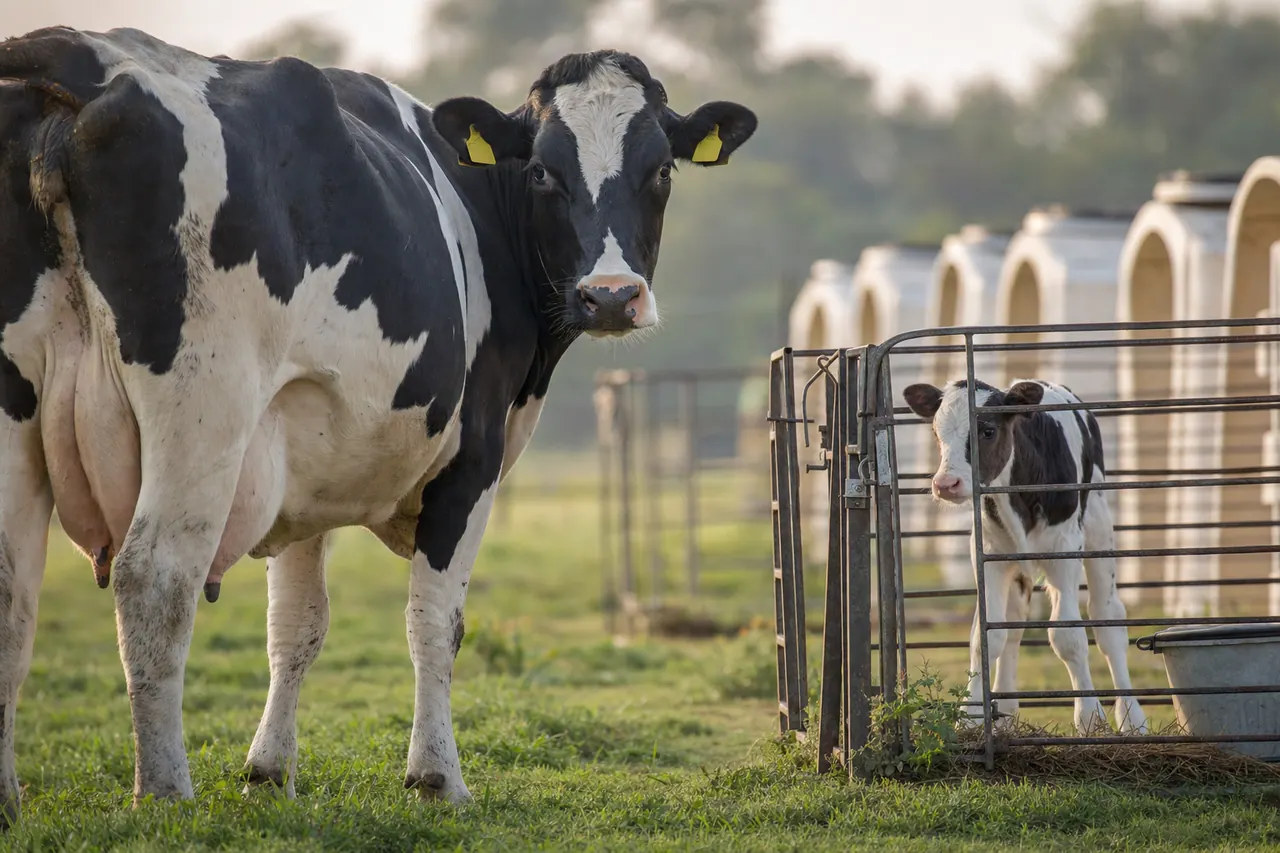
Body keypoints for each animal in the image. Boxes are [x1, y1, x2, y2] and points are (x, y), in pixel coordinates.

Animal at [0, 26, 756, 821]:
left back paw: (10, 798)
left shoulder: (305, 458)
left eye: (661, 169)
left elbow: (297, 625)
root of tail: (85, 59)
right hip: (204, 408)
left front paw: (269, 771)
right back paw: (167, 792)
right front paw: (438, 777)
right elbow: (436, 622)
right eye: (544, 171)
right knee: (155, 578)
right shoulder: (471, 462)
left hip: (21, 406)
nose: (610, 295)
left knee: (13, 594)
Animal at [902, 377, 1148, 737]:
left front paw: (1090, 718)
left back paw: (1132, 718)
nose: (946, 484)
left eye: (988, 430)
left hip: (1098, 525)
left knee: (1108, 620)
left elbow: (1068, 636)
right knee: (1014, 623)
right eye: (936, 432)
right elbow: (985, 636)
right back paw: (1005, 713)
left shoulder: (1064, 549)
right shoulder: (988, 554)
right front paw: (971, 716)